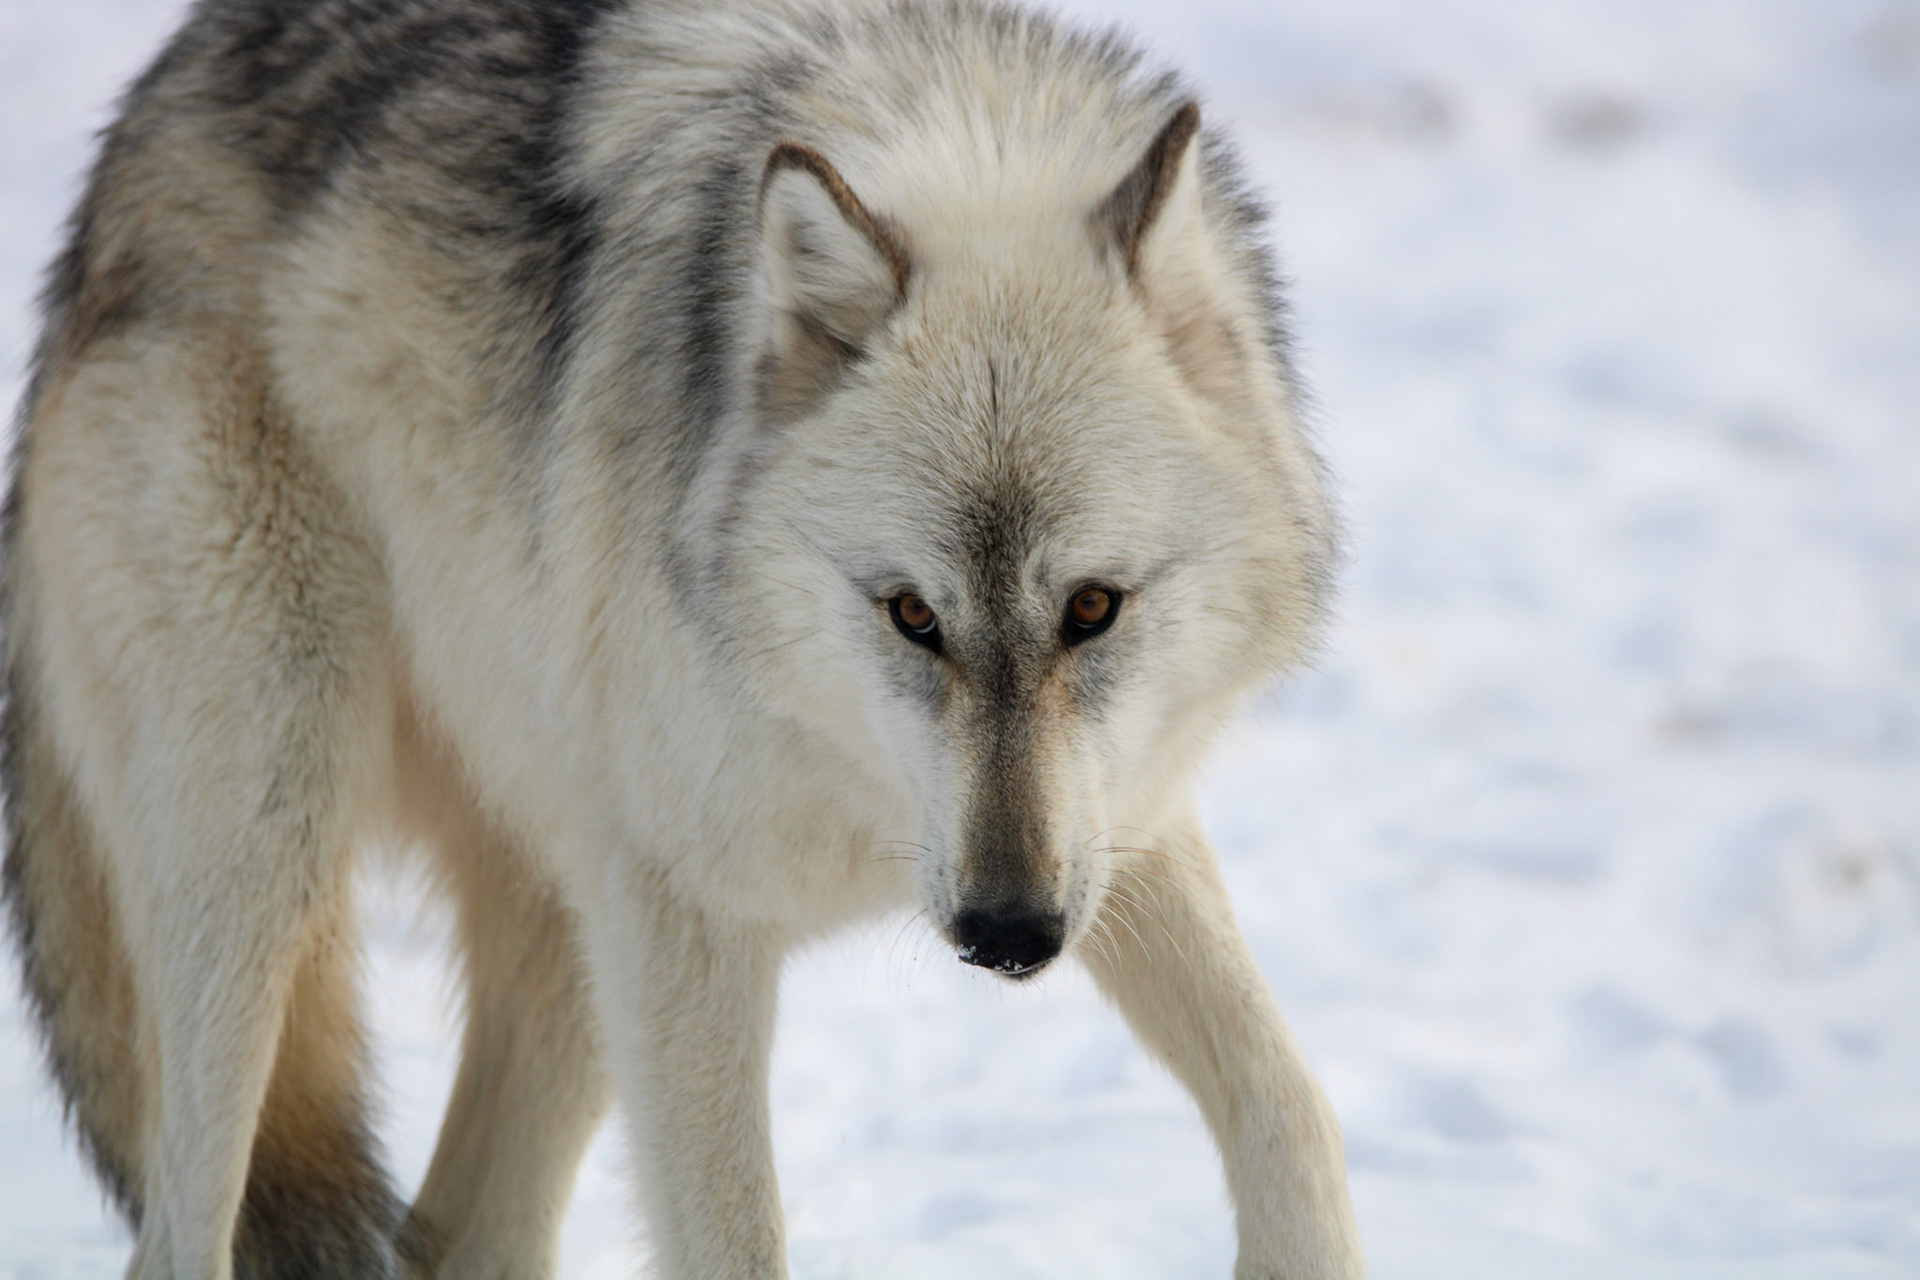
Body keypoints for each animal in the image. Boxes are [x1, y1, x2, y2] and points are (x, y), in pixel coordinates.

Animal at [2, 0, 1363, 1275]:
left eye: (1091, 607)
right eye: (913, 613)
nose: (1008, 936)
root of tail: (119, 159)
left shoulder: (1114, 823)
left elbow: (1292, 1103)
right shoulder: (689, 922)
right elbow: (734, 1239)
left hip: (568, 932)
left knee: (463, 1232)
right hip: (269, 857)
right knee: (181, 1232)